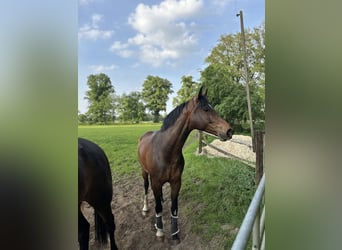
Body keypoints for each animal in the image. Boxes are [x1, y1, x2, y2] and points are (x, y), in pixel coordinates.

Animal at [138, 87, 234, 241]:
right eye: (206, 109)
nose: (229, 130)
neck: (165, 151)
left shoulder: (176, 182)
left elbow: (174, 208)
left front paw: (175, 233)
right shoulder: (156, 182)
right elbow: (158, 207)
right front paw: (160, 231)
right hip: (144, 172)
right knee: (146, 188)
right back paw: (145, 209)